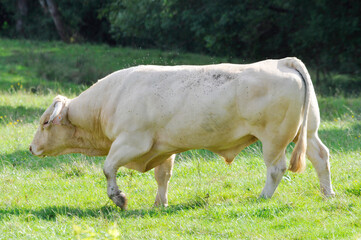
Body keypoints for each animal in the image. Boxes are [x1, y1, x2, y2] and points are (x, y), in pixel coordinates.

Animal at [28, 57, 334, 209]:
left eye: (44, 123)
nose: (31, 148)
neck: (108, 101)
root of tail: (282, 61)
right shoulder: (163, 147)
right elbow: (162, 176)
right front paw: (159, 203)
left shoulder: (132, 142)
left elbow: (108, 168)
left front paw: (119, 198)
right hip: (307, 132)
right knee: (321, 157)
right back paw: (328, 194)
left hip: (274, 138)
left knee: (276, 168)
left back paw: (263, 197)